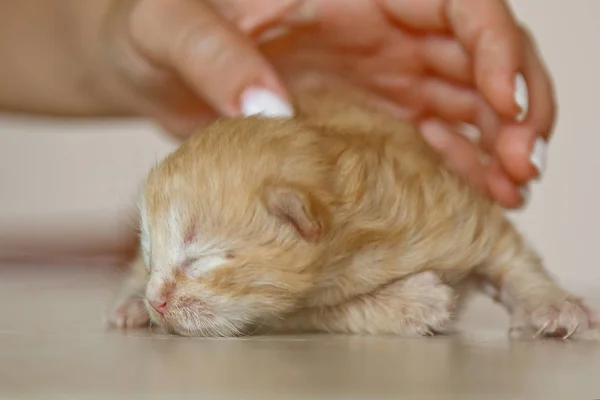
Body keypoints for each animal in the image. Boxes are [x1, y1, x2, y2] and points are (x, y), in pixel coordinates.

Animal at [108, 88, 600, 340]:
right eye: (151, 256)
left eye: (200, 259)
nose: (156, 301)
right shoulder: (291, 310)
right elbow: (330, 310)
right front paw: (413, 303)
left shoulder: (452, 211)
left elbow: (511, 256)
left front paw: (552, 303)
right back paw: (130, 305)